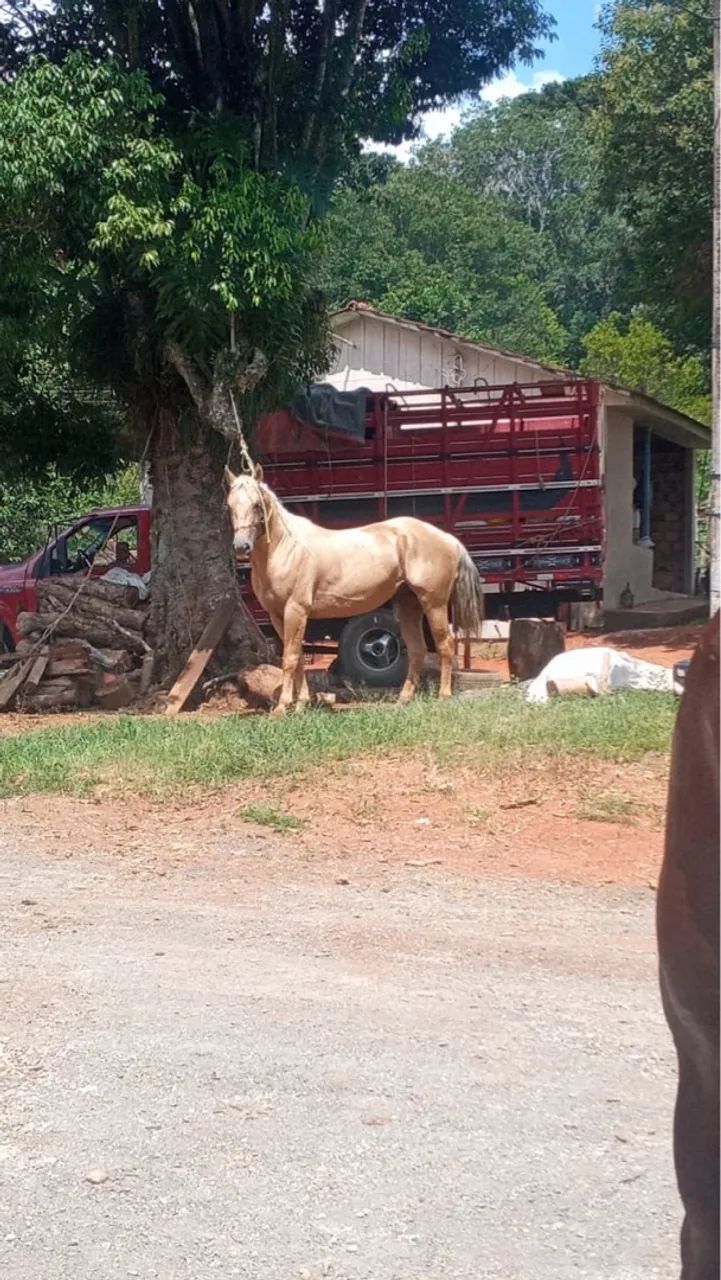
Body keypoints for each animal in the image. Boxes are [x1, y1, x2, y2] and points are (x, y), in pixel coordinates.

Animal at [224, 468, 485, 715]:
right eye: (230, 504)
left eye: (256, 504)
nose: (241, 546)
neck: (286, 548)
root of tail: (448, 538)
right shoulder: (278, 615)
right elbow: (297, 657)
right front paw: (301, 705)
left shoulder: (295, 610)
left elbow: (289, 659)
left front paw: (282, 708)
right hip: (409, 606)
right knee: (417, 650)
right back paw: (403, 699)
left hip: (434, 603)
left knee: (445, 645)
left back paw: (443, 696)